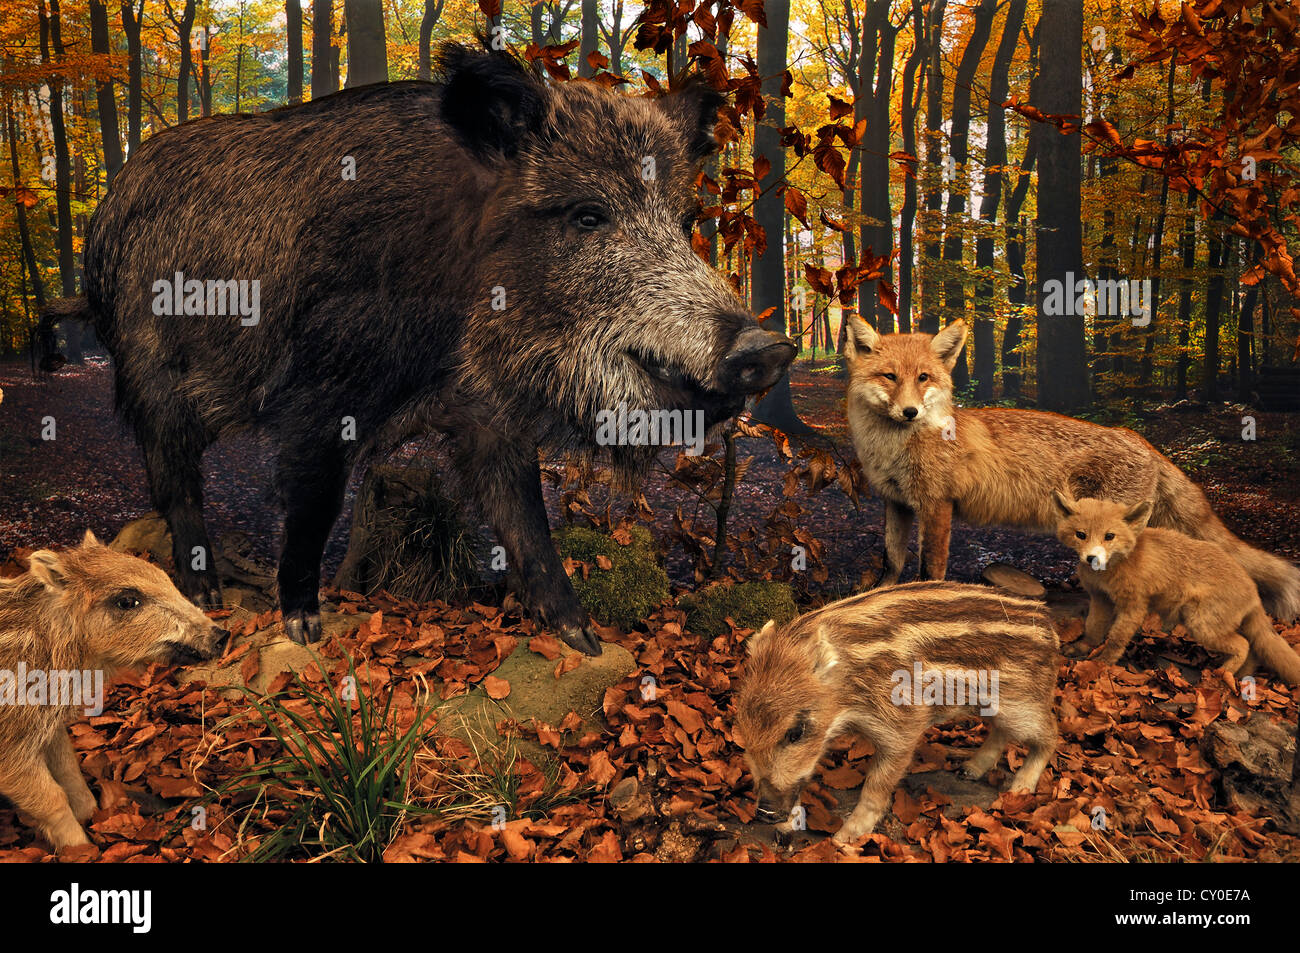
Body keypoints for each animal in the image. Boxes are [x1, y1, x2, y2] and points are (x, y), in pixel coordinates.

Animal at [0, 532, 228, 852]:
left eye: (165, 579)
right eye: (127, 601)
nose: (222, 635)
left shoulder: (47, 727)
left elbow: (70, 769)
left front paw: (94, 815)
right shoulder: (10, 748)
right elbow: (52, 799)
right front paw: (82, 849)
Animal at [734, 581, 1058, 845]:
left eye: (796, 732)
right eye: (743, 732)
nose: (764, 812)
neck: (849, 693)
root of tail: (1052, 630)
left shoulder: (904, 724)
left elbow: (876, 785)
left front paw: (844, 838)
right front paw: (786, 829)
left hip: (1021, 702)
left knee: (1051, 733)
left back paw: (1021, 788)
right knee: (1003, 731)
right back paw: (969, 770)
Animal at [843, 317, 1300, 622]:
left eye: (923, 378)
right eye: (889, 376)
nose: (910, 411)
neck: (895, 447)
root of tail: (1139, 438)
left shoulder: (937, 506)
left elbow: (930, 568)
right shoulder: (897, 503)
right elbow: (892, 560)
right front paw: (877, 597)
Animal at [1052, 491, 1300, 685]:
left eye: (1109, 536)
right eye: (1081, 535)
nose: (1092, 558)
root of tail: (1253, 589)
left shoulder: (1134, 607)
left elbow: (1115, 639)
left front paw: (1102, 664)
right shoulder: (1100, 599)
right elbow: (1093, 628)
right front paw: (1083, 648)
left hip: (1201, 625)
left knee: (1244, 645)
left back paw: (1222, 676)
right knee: (1254, 650)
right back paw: (1239, 678)